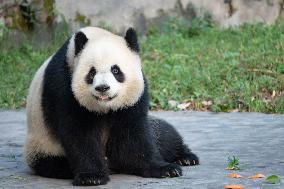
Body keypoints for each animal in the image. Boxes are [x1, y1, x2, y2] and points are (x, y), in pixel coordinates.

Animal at [25, 26, 200, 186]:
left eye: (116, 70)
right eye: (92, 73)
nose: (102, 87)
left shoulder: (134, 98)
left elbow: (133, 134)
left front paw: (165, 169)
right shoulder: (63, 86)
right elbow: (79, 133)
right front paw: (92, 176)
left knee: (164, 135)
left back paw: (185, 158)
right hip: (42, 146)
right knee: (54, 164)